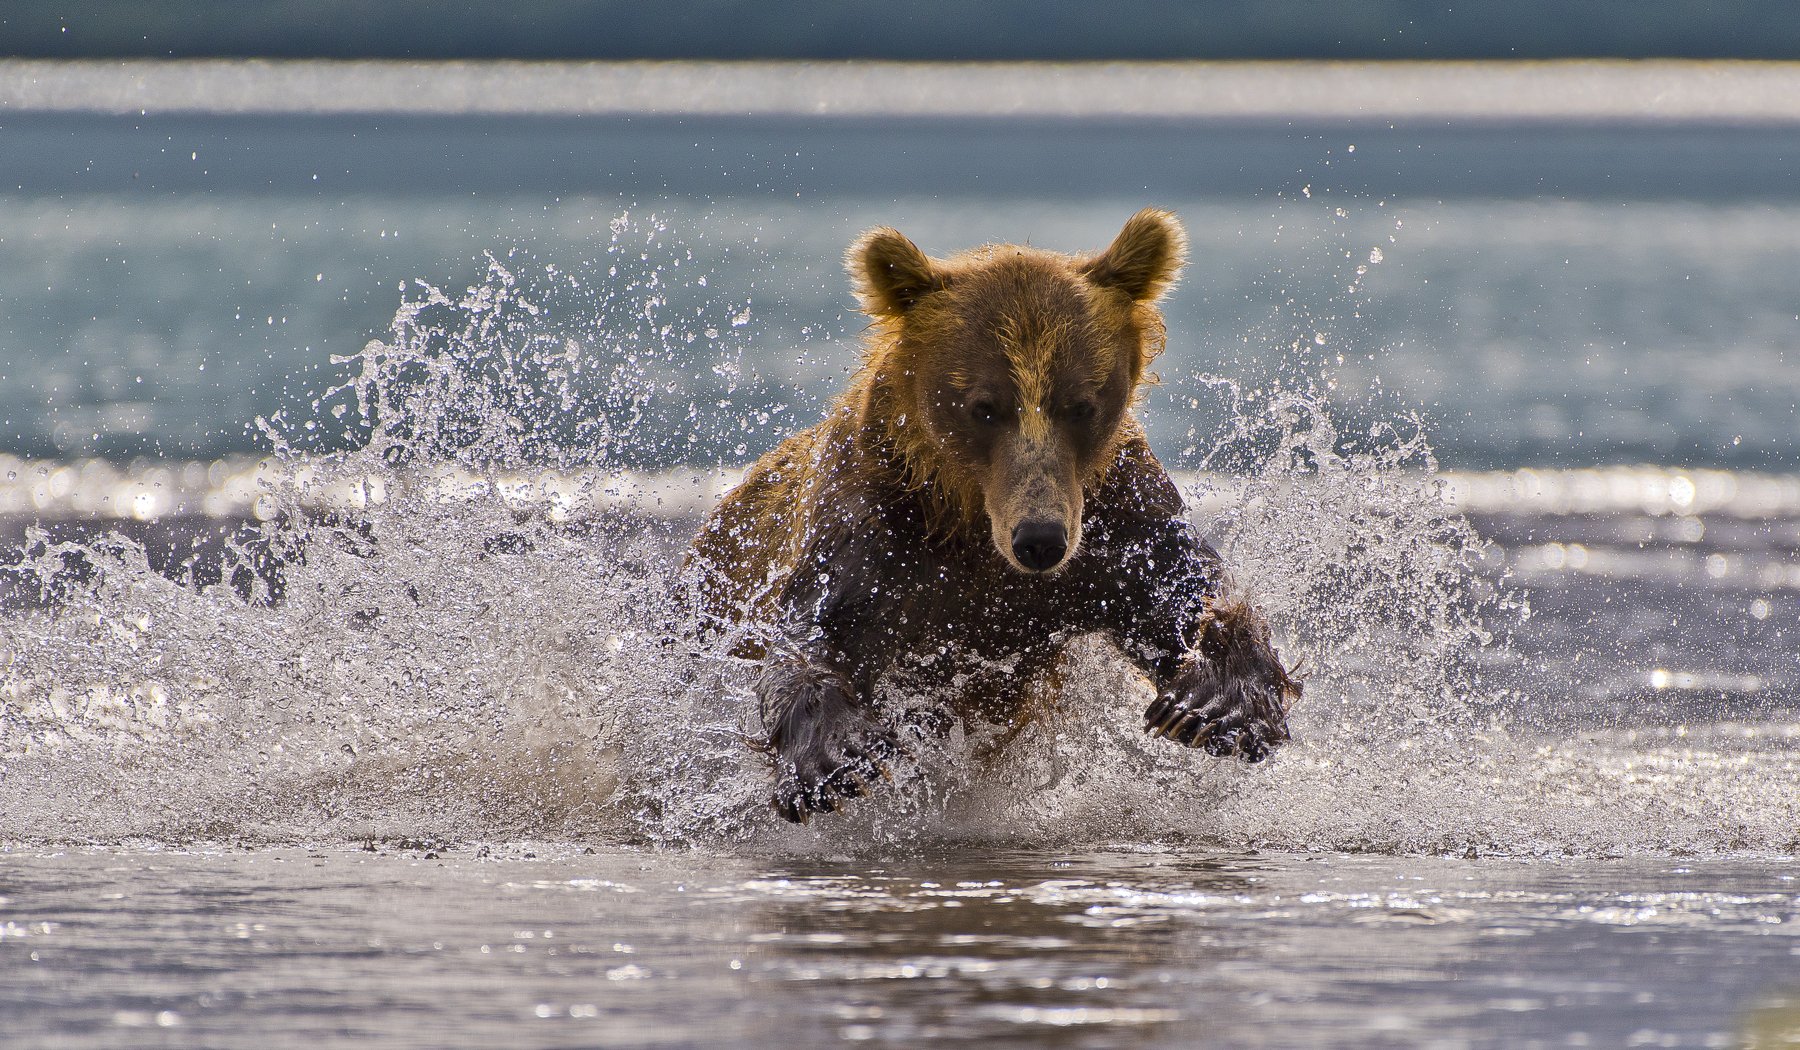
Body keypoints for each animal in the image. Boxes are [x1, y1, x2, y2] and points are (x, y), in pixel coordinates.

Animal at [684, 209, 1296, 824]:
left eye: (1080, 404)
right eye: (983, 406)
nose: (1040, 539)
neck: (971, 521)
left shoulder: (1115, 525)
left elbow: (1183, 595)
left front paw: (1212, 705)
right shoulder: (872, 524)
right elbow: (815, 630)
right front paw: (836, 757)